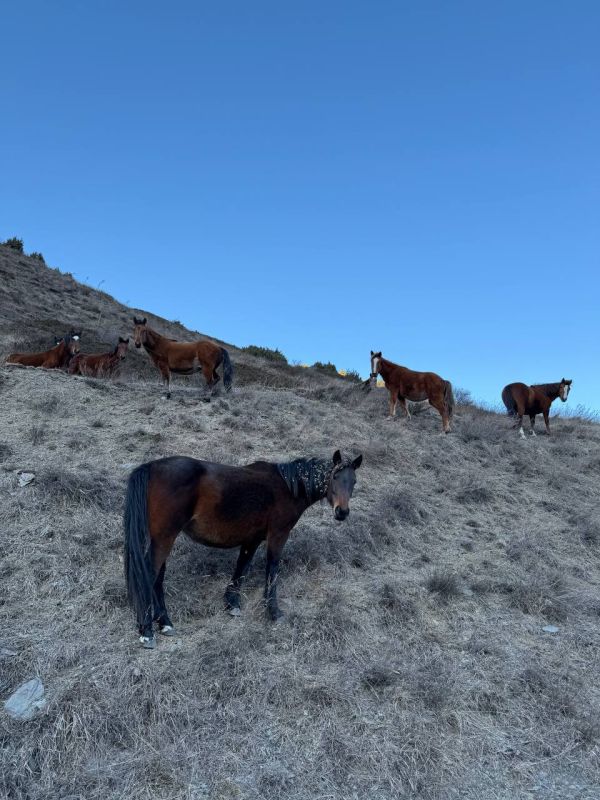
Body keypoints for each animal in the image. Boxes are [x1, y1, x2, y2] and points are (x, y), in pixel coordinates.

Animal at [124, 446, 364, 648]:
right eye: (335, 477)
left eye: (353, 481)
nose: (342, 512)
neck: (288, 487)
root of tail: (152, 467)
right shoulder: (278, 535)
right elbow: (272, 570)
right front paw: (274, 612)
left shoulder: (252, 539)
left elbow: (242, 569)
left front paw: (232, 604)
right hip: (165, 538)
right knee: (149, 576)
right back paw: (147, 630)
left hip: (162, 540)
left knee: (157, 577)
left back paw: (165, 622)